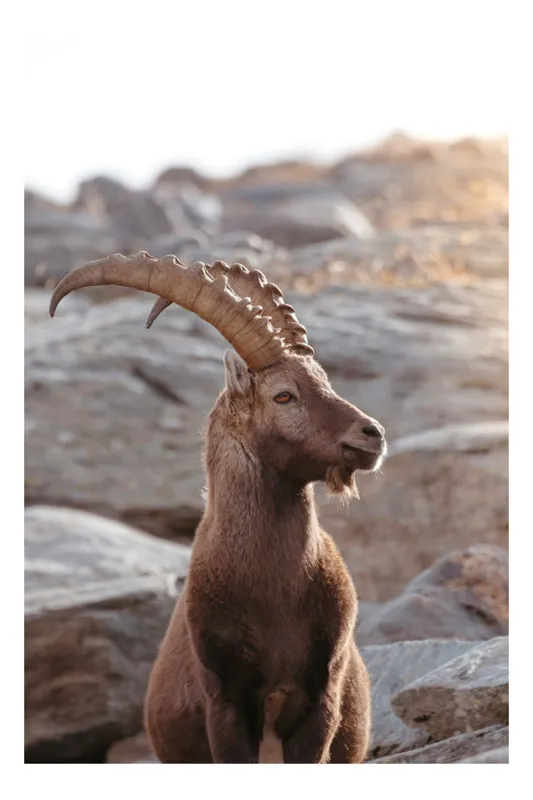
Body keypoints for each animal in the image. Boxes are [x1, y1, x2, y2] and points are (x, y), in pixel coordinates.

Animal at [50, 251, 387, 764]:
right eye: (283, 394)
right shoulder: (225, 703)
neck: (274, 590)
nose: (372, 434)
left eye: (324, 382)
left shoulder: (320, 701)